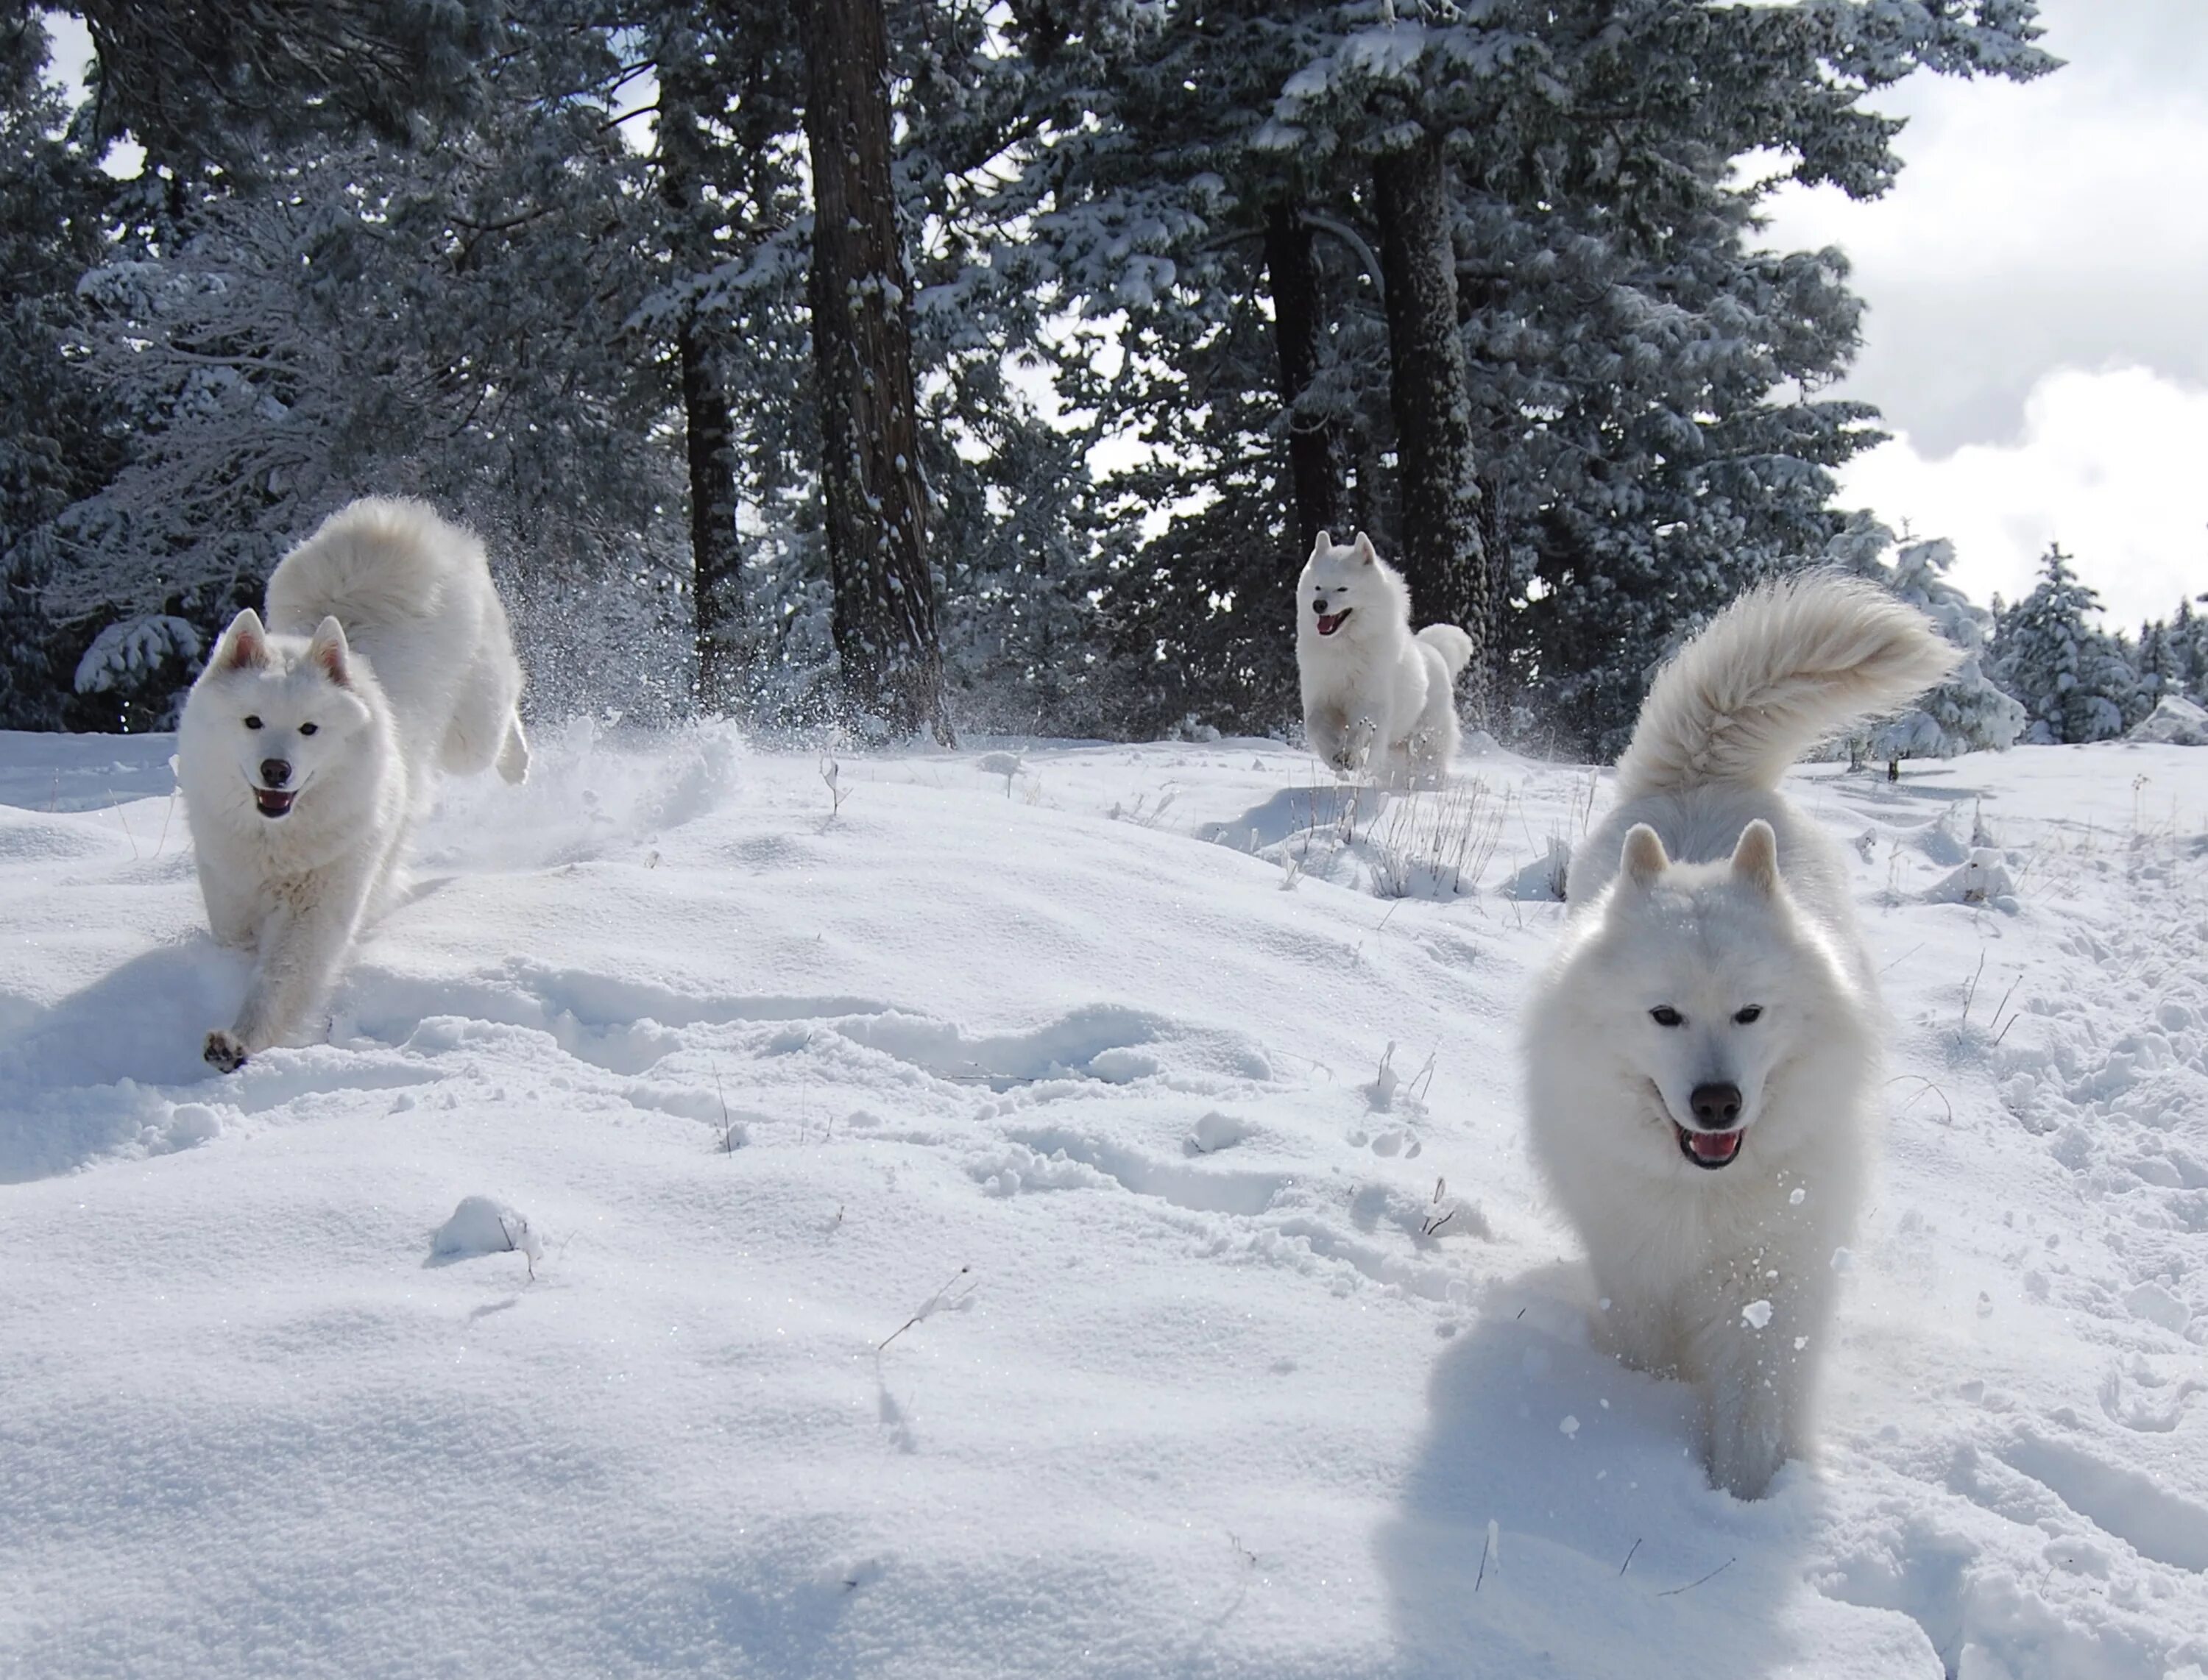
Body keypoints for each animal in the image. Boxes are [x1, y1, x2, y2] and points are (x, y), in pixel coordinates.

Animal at [177, 501, 530, 1073]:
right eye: (252, 722)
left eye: (309, 729)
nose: (276, 770)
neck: (277, 841)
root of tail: (392, 523)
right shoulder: (230, 891)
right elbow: (239, 944)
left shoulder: (321, 902)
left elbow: (282, 978)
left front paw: (241, 1040)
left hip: (469, 730)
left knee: (501, 715)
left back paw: (519, 763)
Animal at [1289, 530, 1475, 786]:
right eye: (1317, 587)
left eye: (1342, 589)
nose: (1318, 605)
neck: (1344, 649)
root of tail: (1435, 651)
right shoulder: (1320, 699)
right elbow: (1316, 727)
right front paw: (1336, 760)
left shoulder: (1371, 703)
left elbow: (1362, 730)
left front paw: (1352, 757)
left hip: (1428, 737)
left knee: (1430, 762)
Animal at [1528, 574, 1961, 1492]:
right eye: (1665, 1015)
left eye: (1751, 1013)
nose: (1718, 1103)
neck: (1705, 1193)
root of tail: (1703, 775)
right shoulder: (1637, 1276)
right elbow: (1652, 1362)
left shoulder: (1772, 1288)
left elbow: (1757, 1408)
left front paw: (1746, 1500)